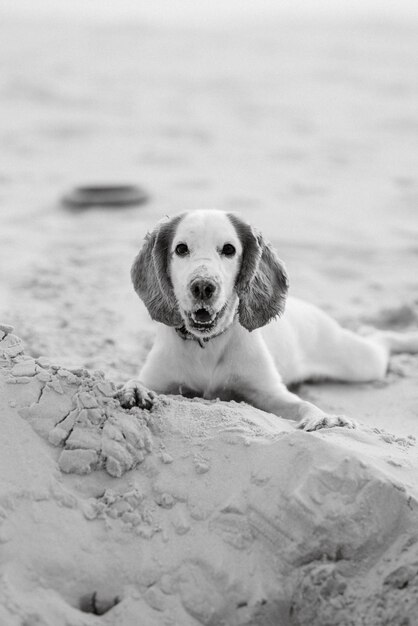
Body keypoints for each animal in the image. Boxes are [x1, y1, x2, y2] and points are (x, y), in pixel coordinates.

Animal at [116, 210, 418, 428]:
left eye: (229, 249)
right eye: (181, 249)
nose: (203, 286)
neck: (207, 344)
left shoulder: (269, 393)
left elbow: (302, 404)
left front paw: (323, 418)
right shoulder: (160, 379)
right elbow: (135, 381)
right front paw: (135, 392)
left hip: (359, 363)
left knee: (380, 339)